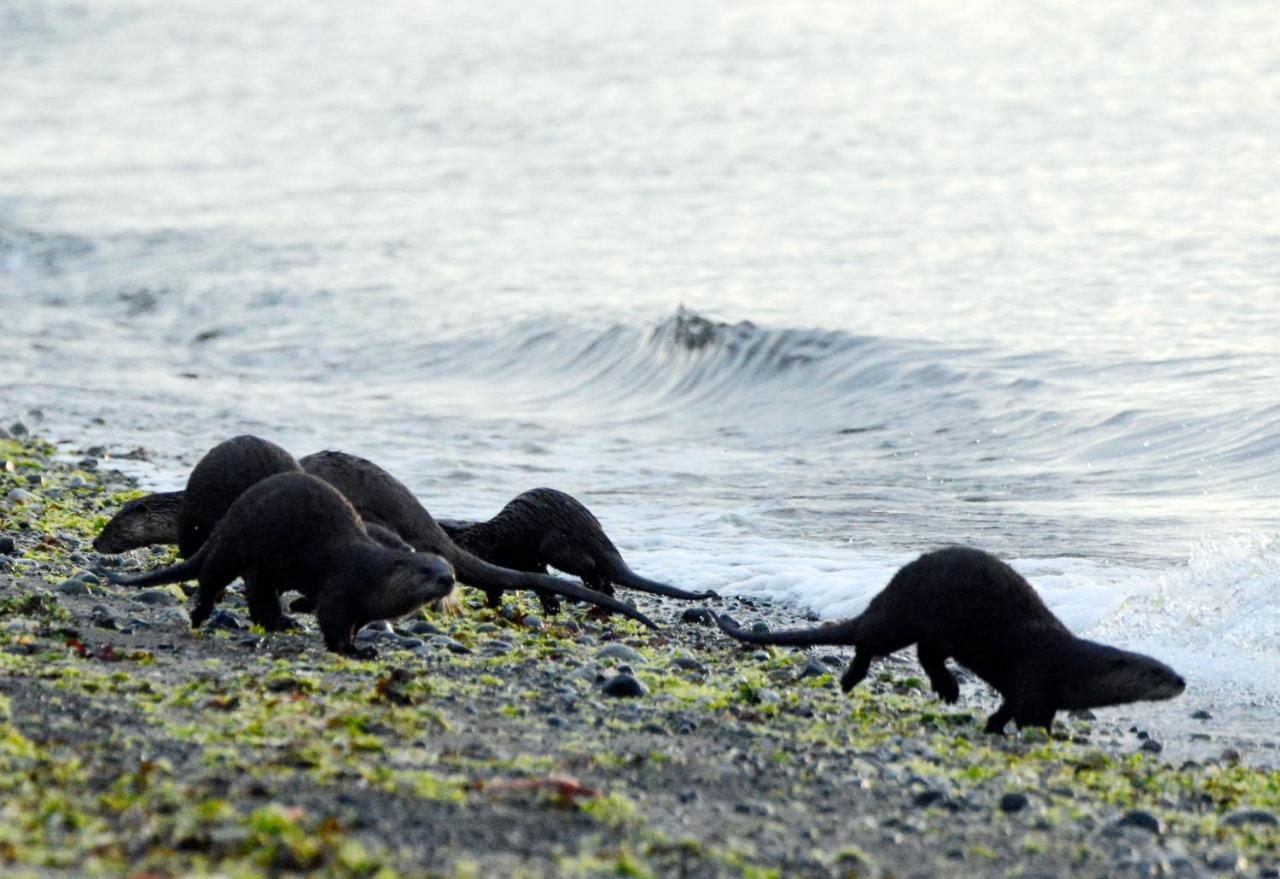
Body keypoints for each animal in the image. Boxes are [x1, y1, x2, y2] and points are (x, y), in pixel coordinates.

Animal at [104, 473, 455, 652]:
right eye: (426, 570)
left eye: (448, 569)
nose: (448, 580)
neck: (372, 576)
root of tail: (229, 516)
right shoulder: (340, 589)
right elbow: (332, 622)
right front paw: (353, 650)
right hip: (236, 546)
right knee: (212, 578)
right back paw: (199, 616)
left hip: (261, 566)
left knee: (259, 597)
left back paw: (283, 622)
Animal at [716, 547, 1182, 731]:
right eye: (1155, 672)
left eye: (1169, 667)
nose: (1181, 682)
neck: (1069, 663)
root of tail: (889, 589)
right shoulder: (1036, 678)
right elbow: (1028, 714)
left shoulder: (1031, 689)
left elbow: (1008, 707)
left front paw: (993, 726)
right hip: (902, 618)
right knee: (870, 641)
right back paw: (852, 679)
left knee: (927, 654)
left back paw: (948, 688)